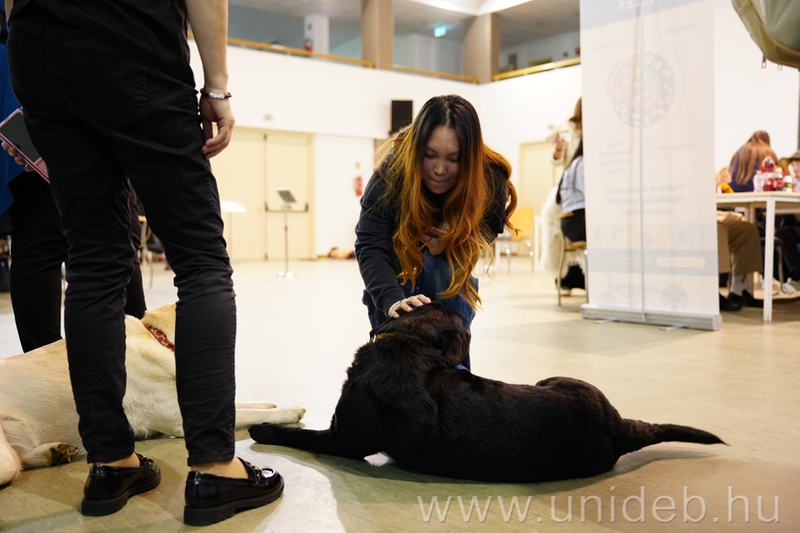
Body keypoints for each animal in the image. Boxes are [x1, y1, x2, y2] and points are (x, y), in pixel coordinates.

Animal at [0, 303, 305, 486]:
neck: (159, 340)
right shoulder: (179, 418)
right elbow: (244, 412)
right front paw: (287, 412)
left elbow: (243, 405)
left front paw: (269, 404)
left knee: (22, 458)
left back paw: (55, 452)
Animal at [249, 303, 723, 483]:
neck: (408, 343)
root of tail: (620, 427)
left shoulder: (341, 439)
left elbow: (297, 434)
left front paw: (263, 427)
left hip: (554, 378)